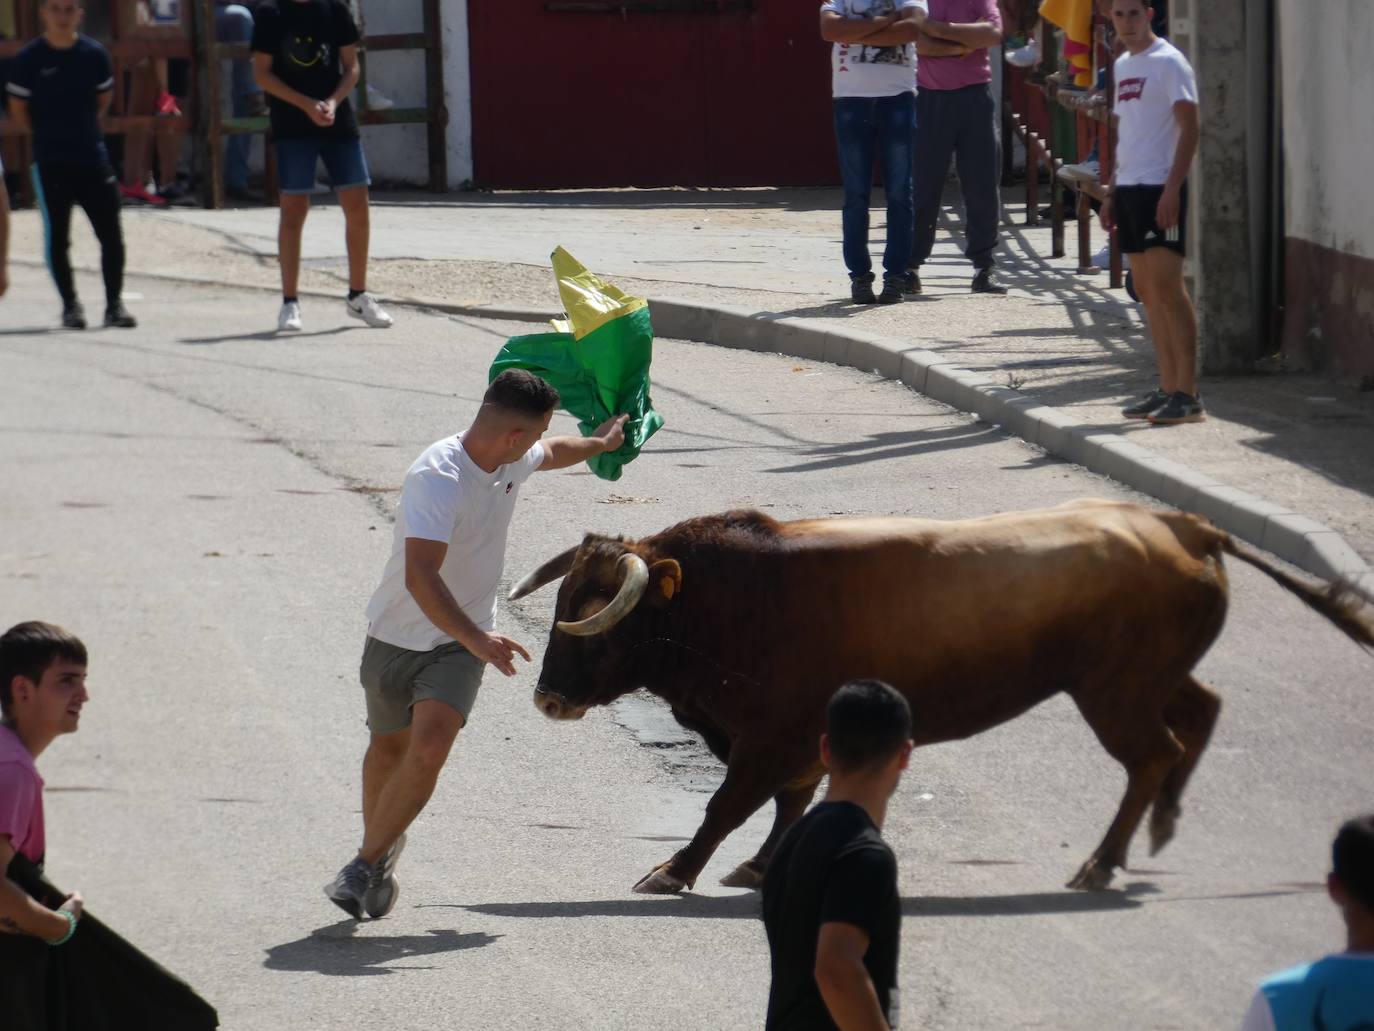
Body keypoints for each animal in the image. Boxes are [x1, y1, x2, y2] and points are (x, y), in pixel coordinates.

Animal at [513, 500, 1374, 896]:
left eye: (599, 618)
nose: (548, 697)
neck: (732, 595)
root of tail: (1181, 523)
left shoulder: (768, 733)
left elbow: (729, 803)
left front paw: (674, 869)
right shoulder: (788, 738)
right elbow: (789, 802)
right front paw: (760, 865)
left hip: (1117, 692)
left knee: (1154, 753)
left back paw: (1100, 862)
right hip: (1148, 678)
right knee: (1199, 711)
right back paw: (1153, 834)